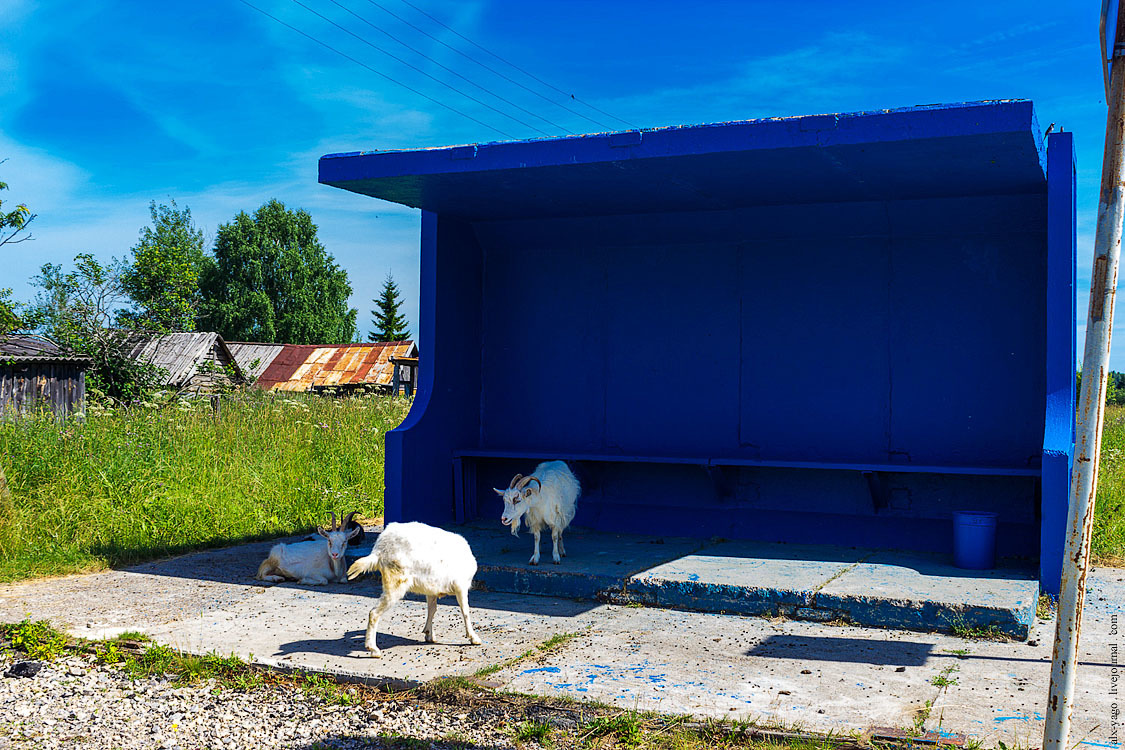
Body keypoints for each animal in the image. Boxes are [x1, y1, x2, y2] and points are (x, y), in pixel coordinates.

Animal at [344, 521, 481, 656]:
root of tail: (379, 550)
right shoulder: (461, 586)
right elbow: (465, 611)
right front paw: (474, 638)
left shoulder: (431, 591)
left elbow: (432, 610)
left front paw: (429, 635)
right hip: (395, 583)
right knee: (374, 613)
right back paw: (373, 649)